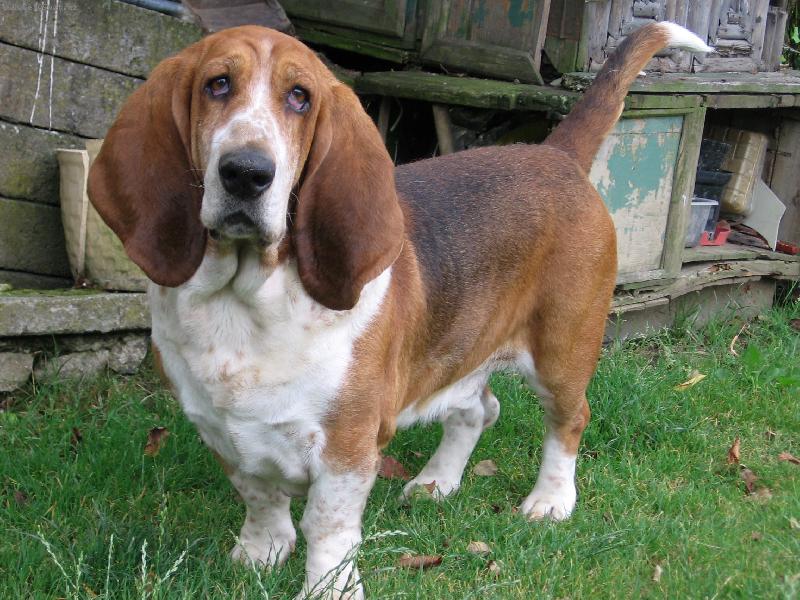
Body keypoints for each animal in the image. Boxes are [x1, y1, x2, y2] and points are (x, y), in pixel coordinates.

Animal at [88, 21, 710, 599]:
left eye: (300, 97)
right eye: (217, 84)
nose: (246, 171)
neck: (245, 301)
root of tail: (555, 153)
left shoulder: (346, 448)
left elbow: (327, 528)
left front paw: (329, 589)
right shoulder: (222, 431)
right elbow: (259, 496)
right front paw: (261, 552)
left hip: (561, 352)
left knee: (569, 419)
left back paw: (549, 500)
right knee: (479, 409)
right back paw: (437, 482)